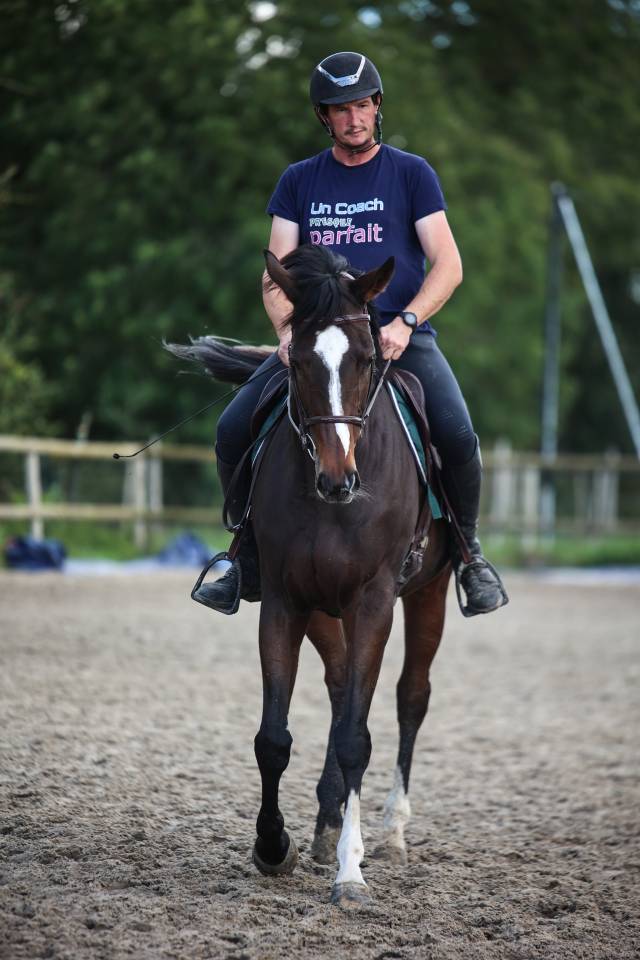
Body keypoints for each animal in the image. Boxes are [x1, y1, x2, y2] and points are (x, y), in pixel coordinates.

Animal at [170, 244, 452, 907]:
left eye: (368, 360)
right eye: (296, 362)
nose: (337, 479)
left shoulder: (373, 601)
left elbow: (357, 737)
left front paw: (352, 872)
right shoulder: (285, 600)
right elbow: (274, 739)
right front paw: (274, 847)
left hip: (428, 592)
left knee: (409, 696)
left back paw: (389, 832)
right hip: (325, 609)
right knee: (340, 687)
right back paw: (326, 824)